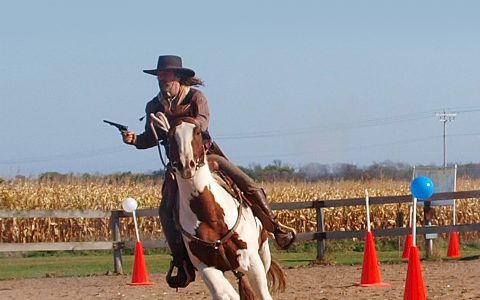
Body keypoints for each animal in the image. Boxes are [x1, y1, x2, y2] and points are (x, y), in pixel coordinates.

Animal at [151, 113, 284, 300]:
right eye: (169, 136)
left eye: (197, 132)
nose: (186, 165)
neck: (211, 215)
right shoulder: (206, 267)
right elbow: (225, 294)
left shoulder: (252, 261)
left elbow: (262, 292)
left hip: (264, 250)